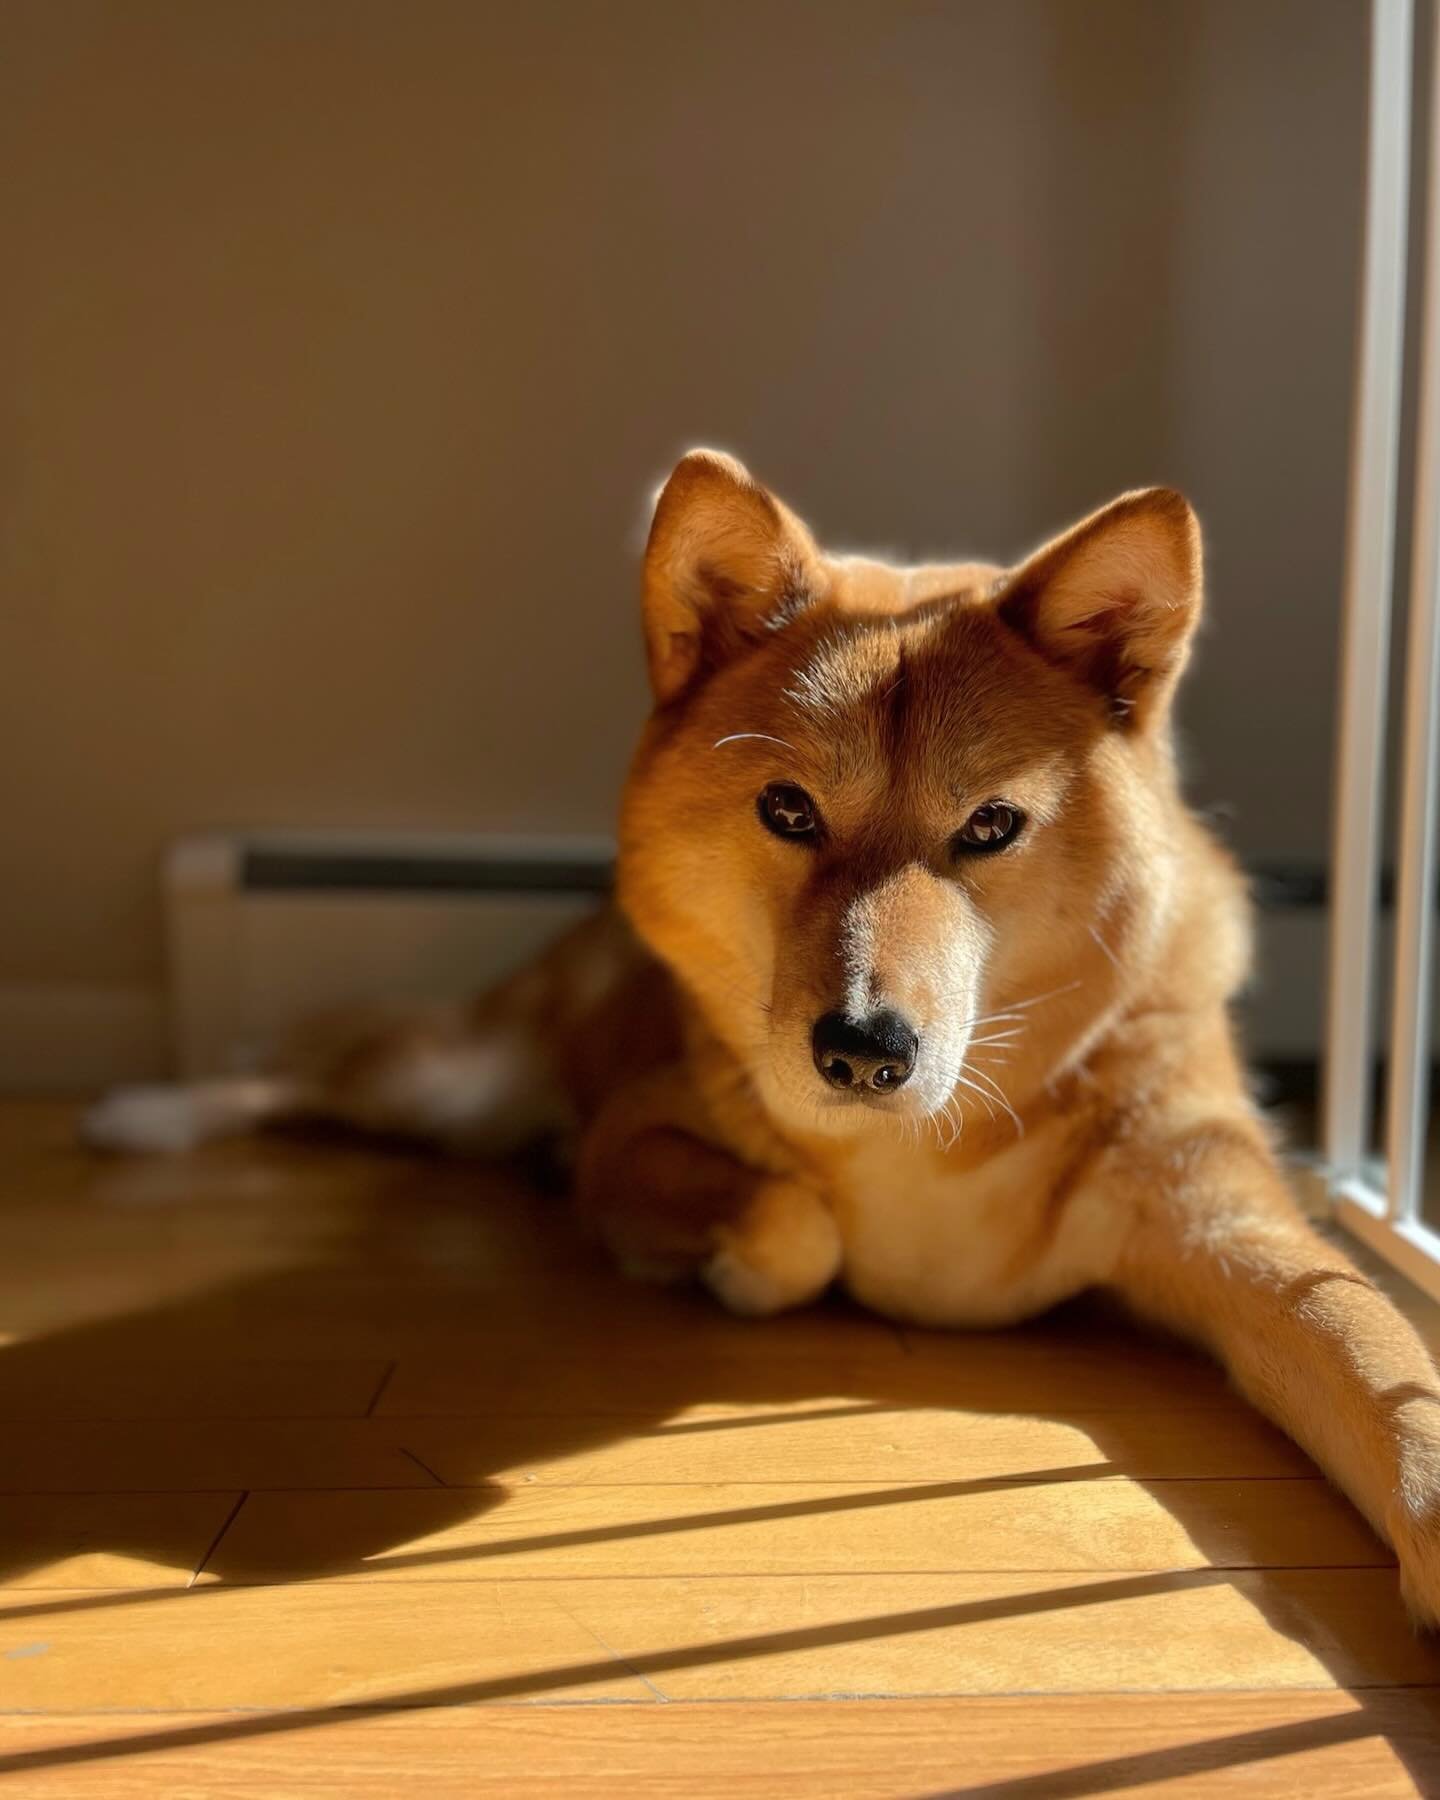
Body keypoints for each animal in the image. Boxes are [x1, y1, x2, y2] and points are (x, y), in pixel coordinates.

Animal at [87, 446, 1440, 1620]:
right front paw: (730, 1265)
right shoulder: (634, 1137)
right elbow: (795, 1222)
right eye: (788, 810)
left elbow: (1371, 1346)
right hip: (446, 1083)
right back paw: (142, 1112)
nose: (861, 1050)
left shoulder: (1233, 1219)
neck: (935, 1133)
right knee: (295, 1069)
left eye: (991, 827)